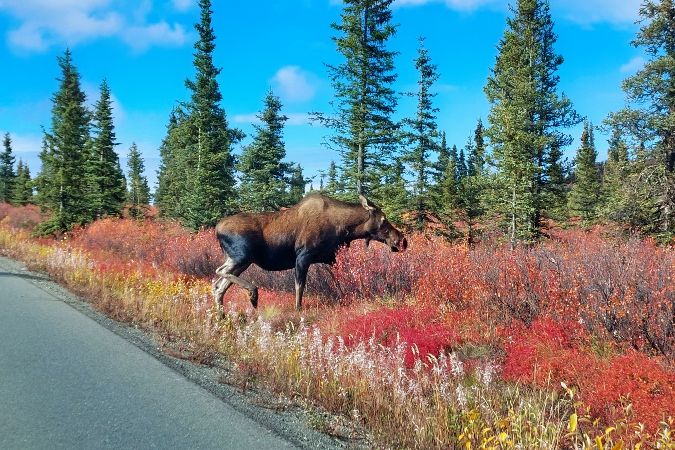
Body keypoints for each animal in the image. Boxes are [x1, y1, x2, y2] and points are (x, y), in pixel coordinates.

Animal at [214, 192, 410, 312]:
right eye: (383, 220)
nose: (402, 240)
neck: (345, 230)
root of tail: (217, 229)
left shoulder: (331, 258)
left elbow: (338, 283)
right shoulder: (303, 256)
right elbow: (299, 288)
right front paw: (298, 310)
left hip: (242, 261)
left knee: (219, 286)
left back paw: (222, 316)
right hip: (241, 256)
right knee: (218, 274)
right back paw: (253, 294)